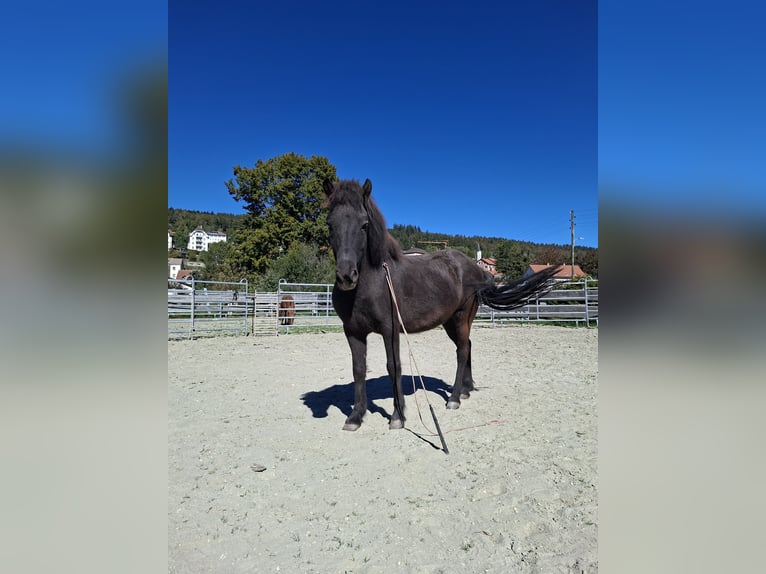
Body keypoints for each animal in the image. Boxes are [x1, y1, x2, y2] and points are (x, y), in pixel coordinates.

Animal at [323, 178, 561, 431]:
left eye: (364, 225)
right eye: (330, 224)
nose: (346, 276)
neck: (373, 283)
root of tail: (478, 270)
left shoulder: (391, 330)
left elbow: (393, 366)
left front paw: (398, 416)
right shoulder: (353, 331)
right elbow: (358, 369)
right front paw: (355, 417)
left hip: (460, 317)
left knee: (462, 351)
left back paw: (454, 398)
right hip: (451, 322)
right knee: (467, 346)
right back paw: (466, 389)